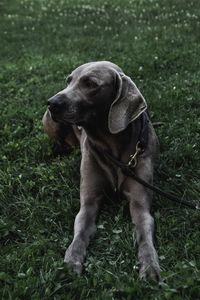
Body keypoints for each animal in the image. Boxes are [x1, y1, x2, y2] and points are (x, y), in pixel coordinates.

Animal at [42, 61, 161, 282]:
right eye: (68, 80)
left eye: (90, 83)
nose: (52, 103)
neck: (112, 145)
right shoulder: (88, 203)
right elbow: (80, 233)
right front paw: (71, 262)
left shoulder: (140, 204)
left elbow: (144, 236)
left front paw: (150, 266)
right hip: (52, 124)